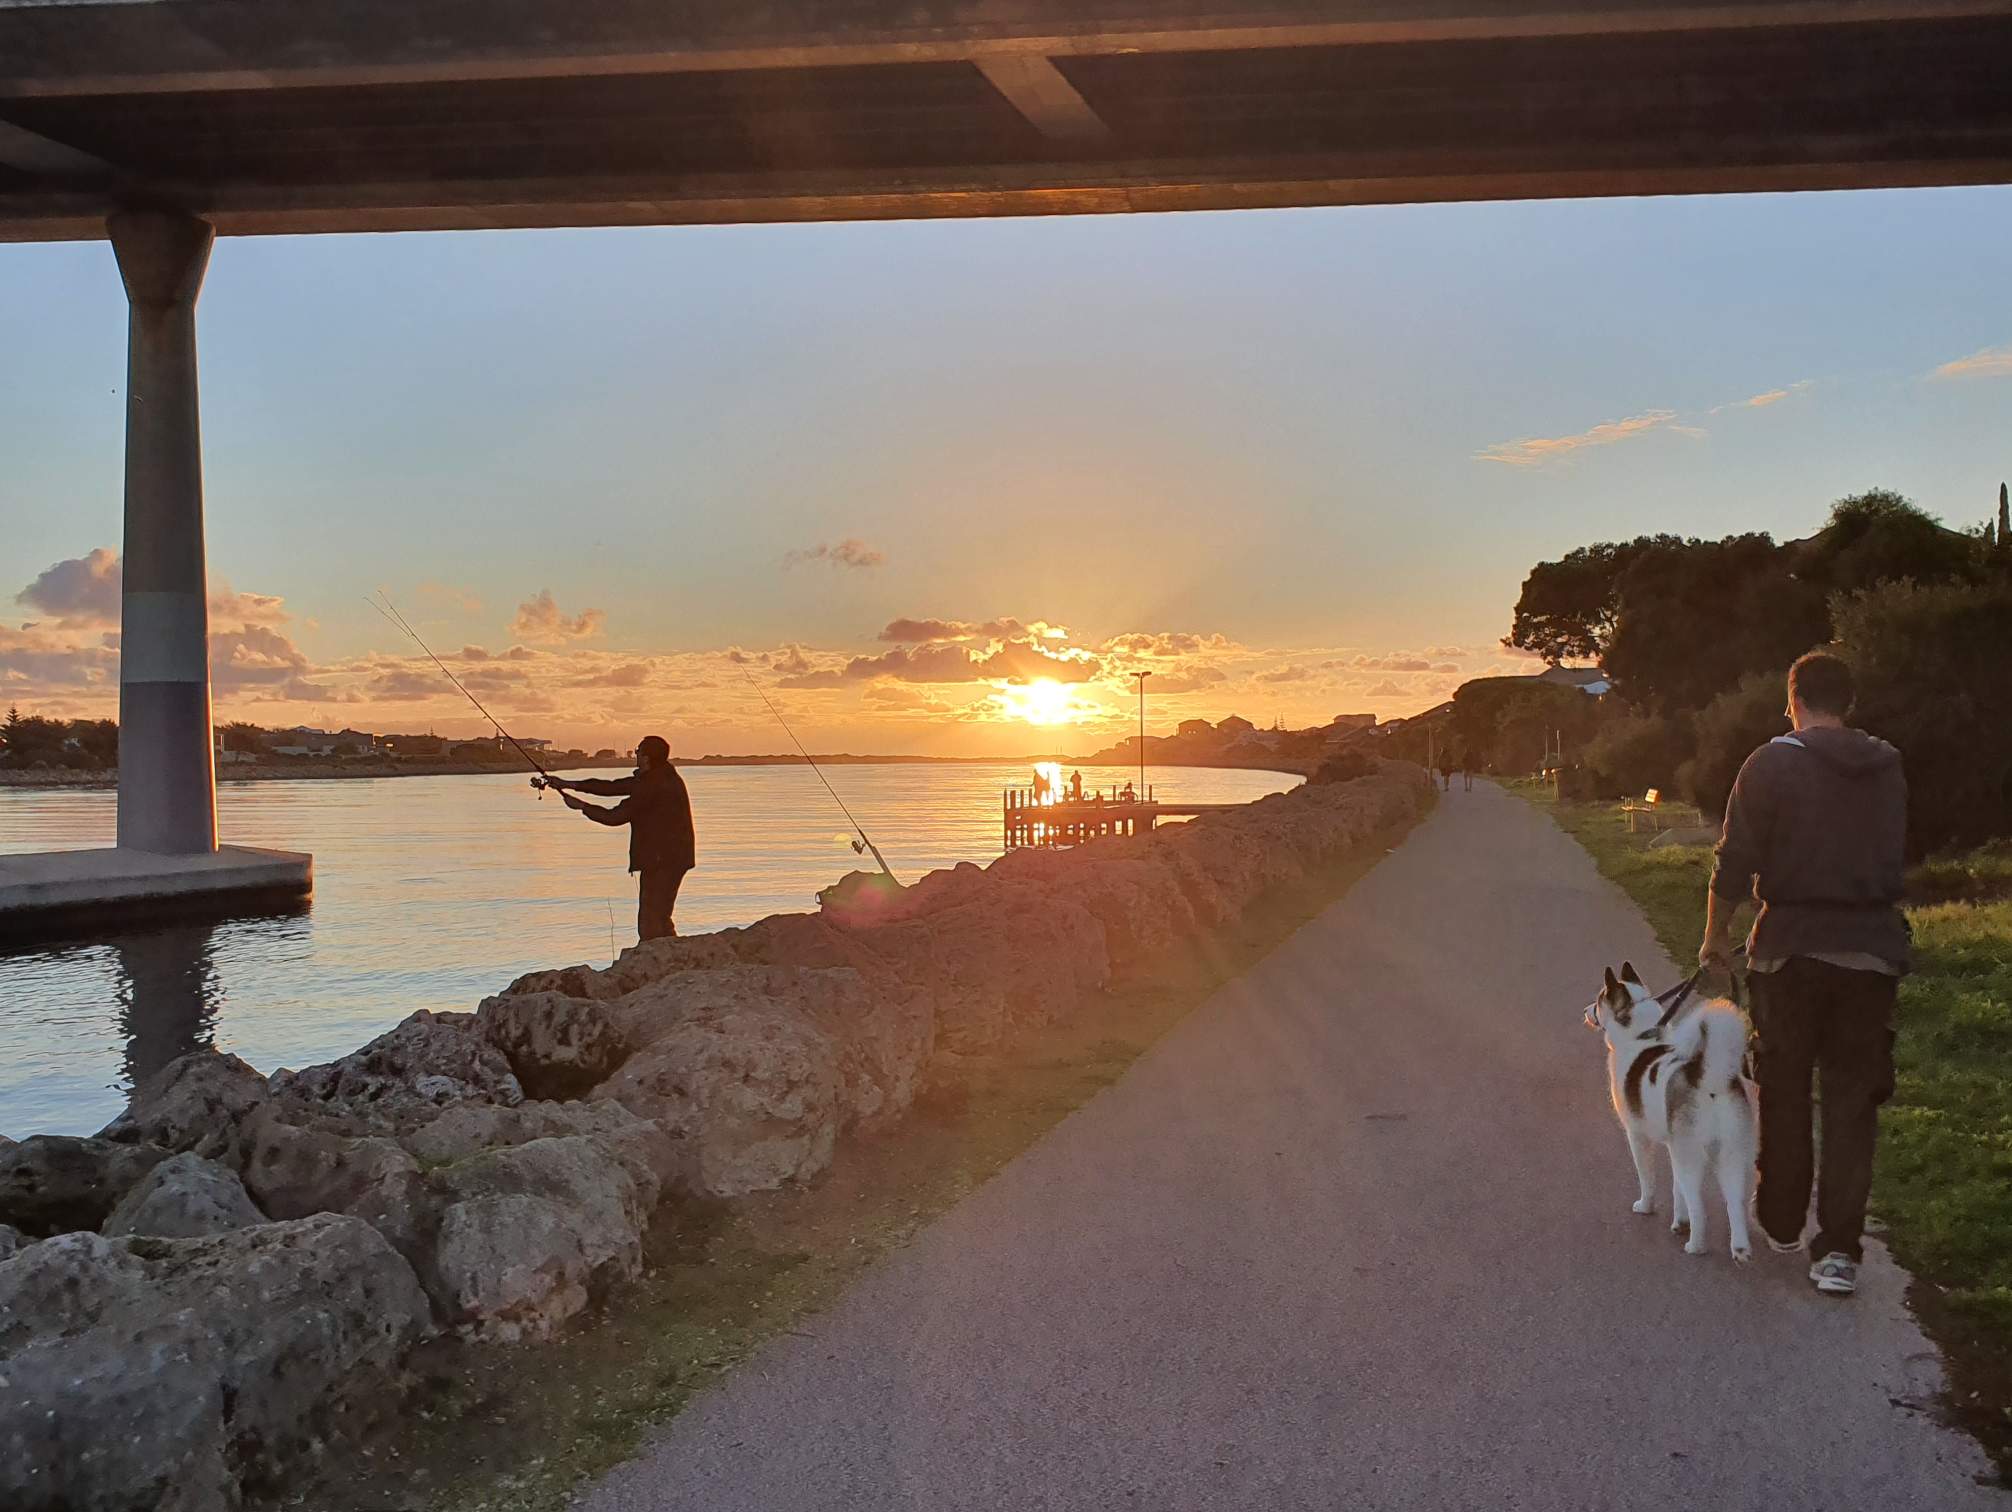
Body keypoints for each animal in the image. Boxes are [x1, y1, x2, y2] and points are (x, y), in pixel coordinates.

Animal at [1577, 962, 1754, 1256]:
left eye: (1600, 998)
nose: (1585, 1010)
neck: (1639, 1036)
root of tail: (1710, 1077)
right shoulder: (1674, 1146)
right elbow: (1676, 1187)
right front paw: (1679, 1220)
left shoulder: (1638, 1137)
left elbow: (1647, 1178)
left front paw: (1646, 1206)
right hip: (1730, 1153)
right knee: (1734, 1203)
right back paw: (1740, 1249)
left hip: (1692, 1155)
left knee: (1699, 1206)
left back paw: (1696, 1245)